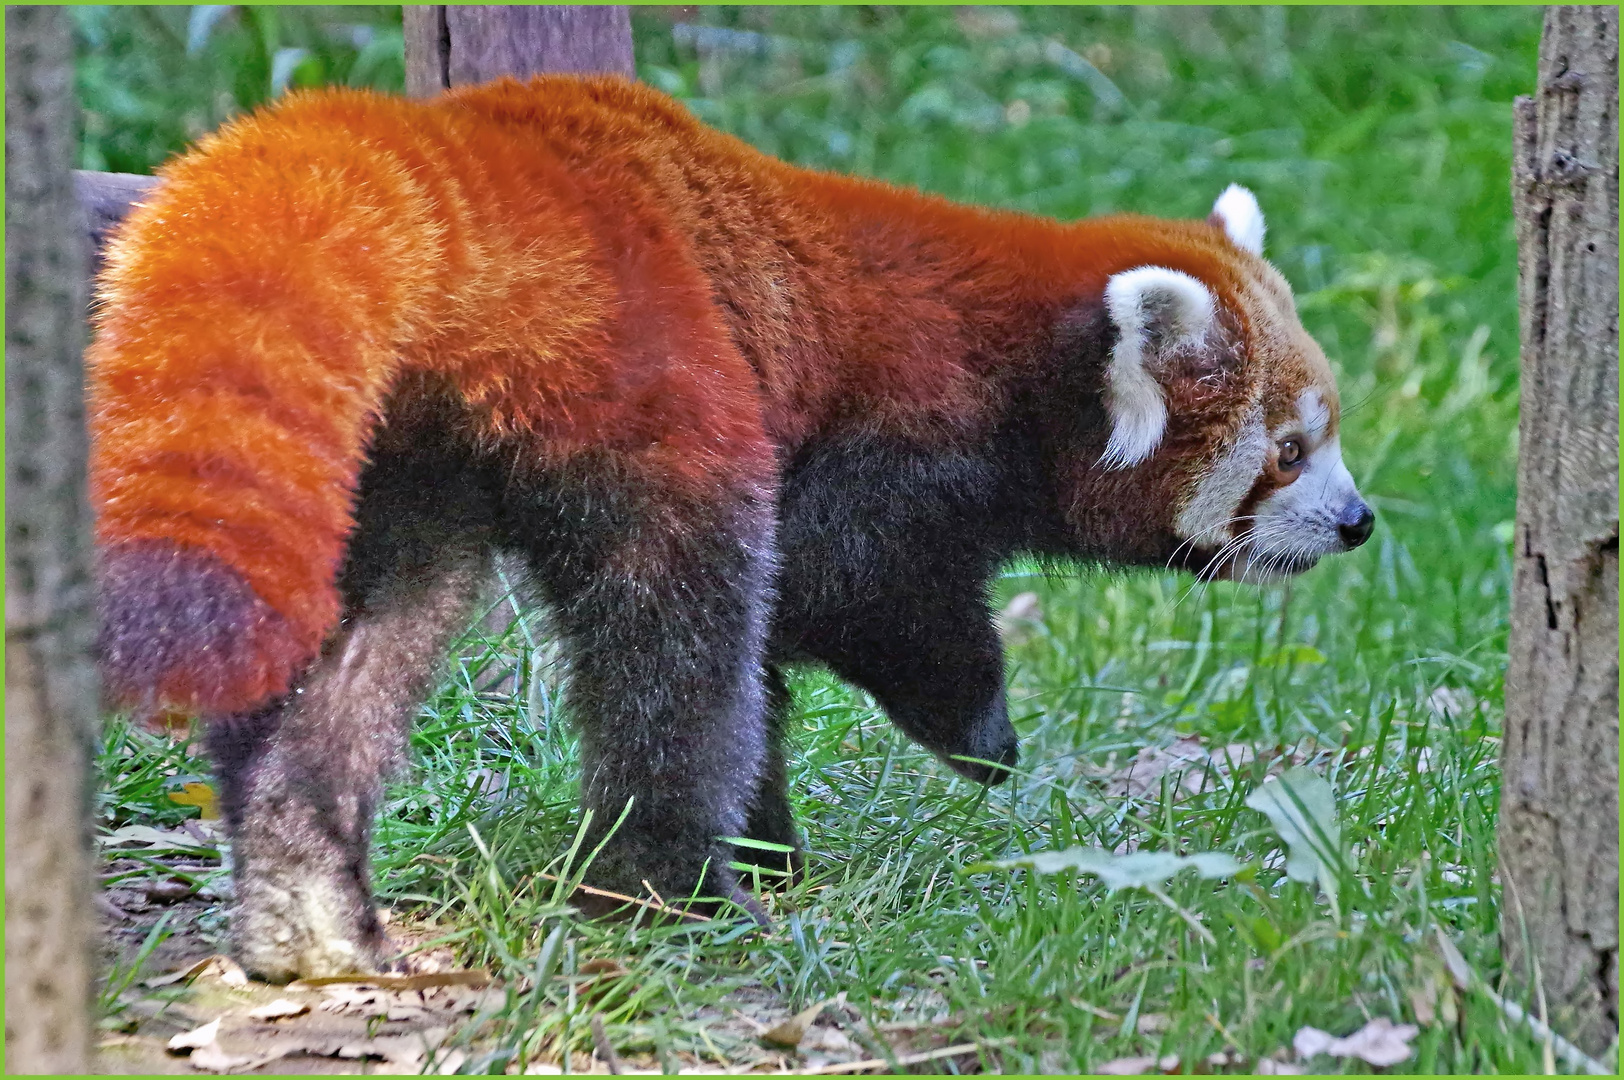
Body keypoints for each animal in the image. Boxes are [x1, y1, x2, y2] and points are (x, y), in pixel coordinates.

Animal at [88, 75, 1370, 980]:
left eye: (1331, 432)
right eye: (1287, 452)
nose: (1356, 523)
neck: (1016, 357)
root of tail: (483, 146)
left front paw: (785, 842)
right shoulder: (889, 446)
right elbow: (849, 593)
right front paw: (981, 735)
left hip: (393, 459)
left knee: (359, 652)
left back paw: (307, 910)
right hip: (645, 371)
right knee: (679, 640)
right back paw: (674, 889)